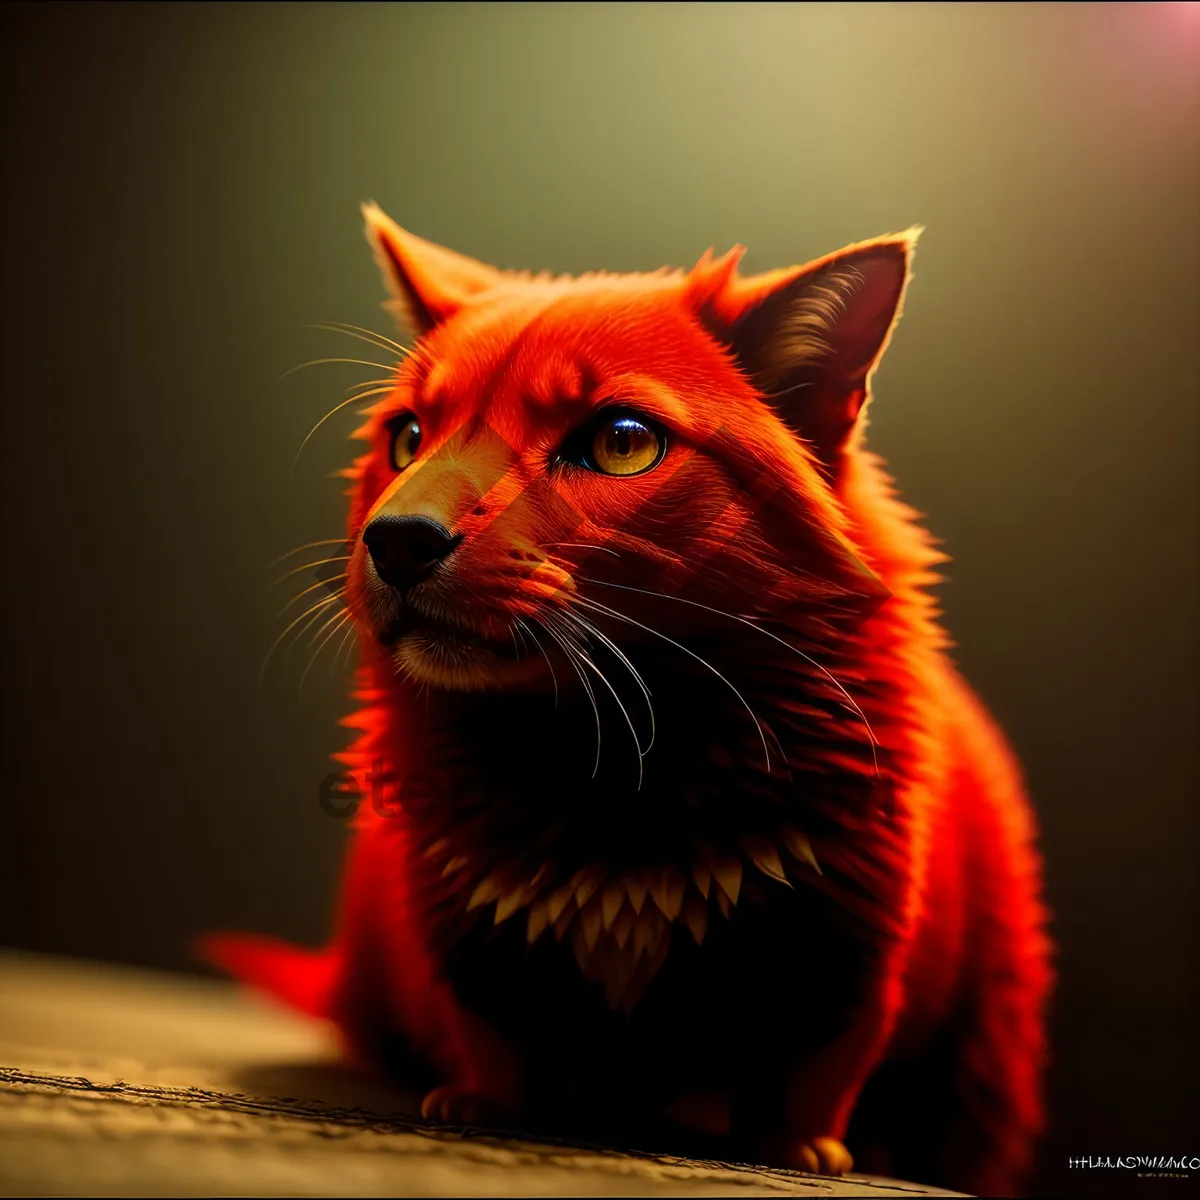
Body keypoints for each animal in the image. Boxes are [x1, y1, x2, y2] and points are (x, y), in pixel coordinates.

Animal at [201, 206, 1056, 1190]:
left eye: (622, 441)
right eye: (408, 437)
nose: (398, 539)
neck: (612, 760)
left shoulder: (854, 940)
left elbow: (819, 1061)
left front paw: (804, 1149)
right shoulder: (466, 940)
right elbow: (494, 1034)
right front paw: (481, 1103)